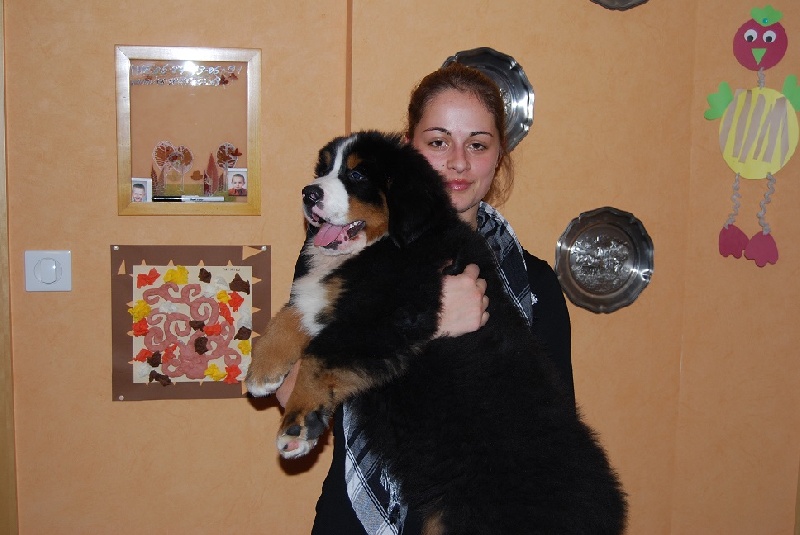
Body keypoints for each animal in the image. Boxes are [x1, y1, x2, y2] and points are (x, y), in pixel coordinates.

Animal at [245, 131, 627, 534]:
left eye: (358, 175)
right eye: (322, 170)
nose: (308, 193)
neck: (393, 245)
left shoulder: (394, 315)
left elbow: (319, 356)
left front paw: (297, 427)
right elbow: (295, 313)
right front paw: (263, 371)